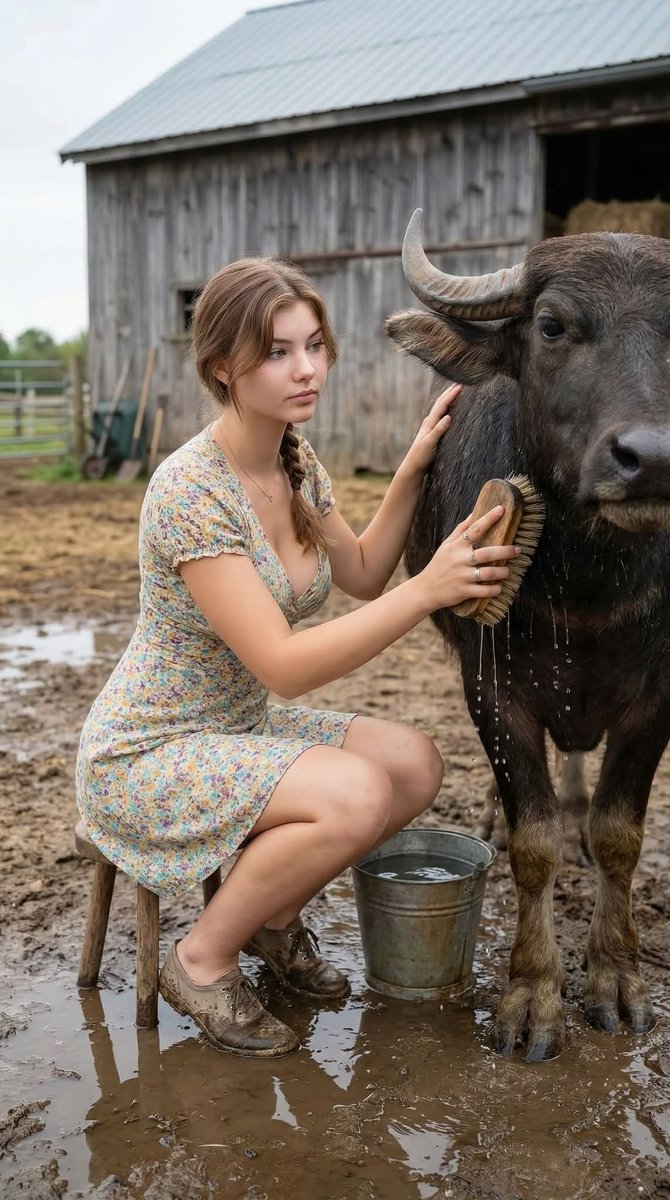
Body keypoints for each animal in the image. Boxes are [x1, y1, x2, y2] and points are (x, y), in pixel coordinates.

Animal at [386, 209, 670, 1062]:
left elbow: (618, 833)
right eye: (551, 326)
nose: (650, 460)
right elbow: (532, 842)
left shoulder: (660, 696)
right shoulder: (493, 690)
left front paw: (615, 980)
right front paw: (532, 997)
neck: (591, 589)